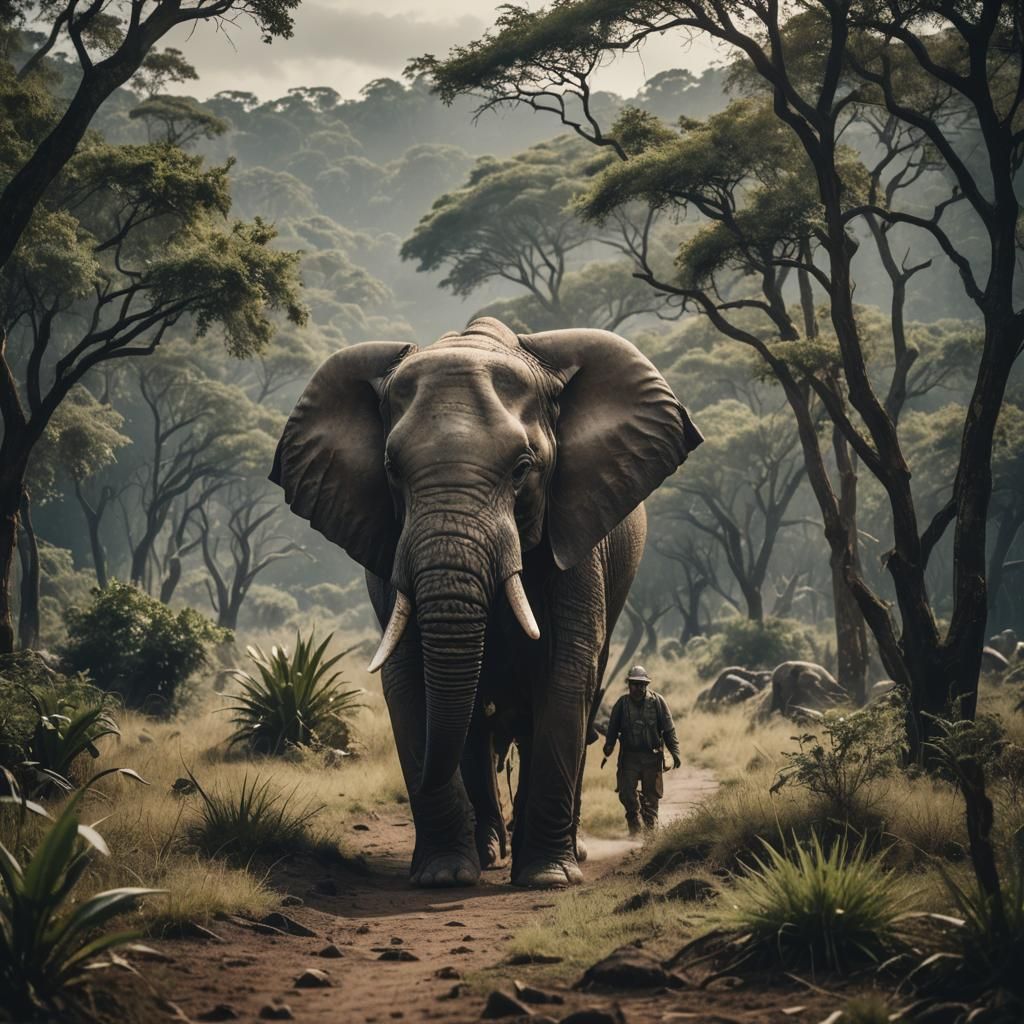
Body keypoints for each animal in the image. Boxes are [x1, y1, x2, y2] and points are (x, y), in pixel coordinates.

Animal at [270, 317, 702, 889]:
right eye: (391, 470)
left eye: (522, 468)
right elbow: (407, 679)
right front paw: (444, 877)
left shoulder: (575, 537)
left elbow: (566, 673)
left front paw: (547, 878)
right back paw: (489, 851)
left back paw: (564, 853)